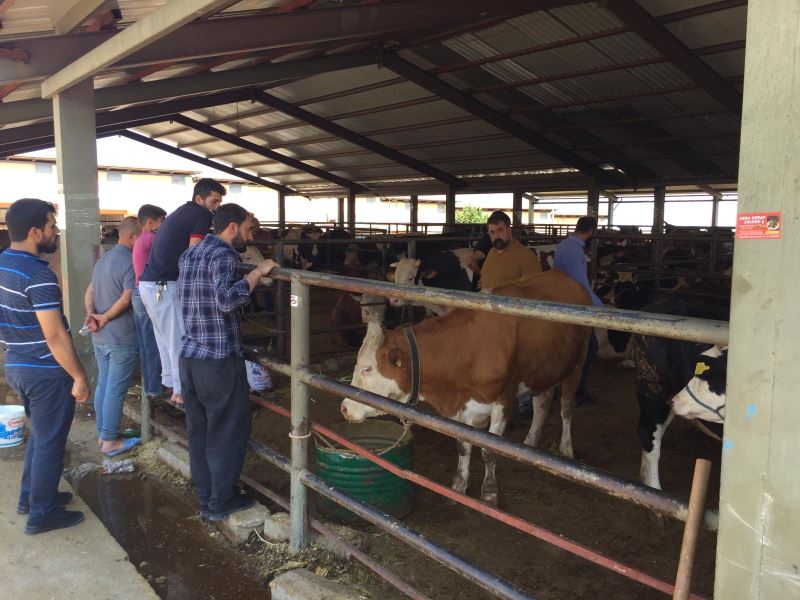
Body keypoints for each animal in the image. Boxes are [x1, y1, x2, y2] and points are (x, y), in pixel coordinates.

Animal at [340, 270, 592, 504]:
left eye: (367, 369)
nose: (344, 407)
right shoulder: (463, 406)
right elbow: (463, 445)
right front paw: (458, 486)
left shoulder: (502, 401)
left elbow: (489, 451)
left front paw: (489, 493)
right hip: (545, 370)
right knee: (542, 403)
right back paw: (530, 443)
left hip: (577, 364)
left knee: (566, 407)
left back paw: (566, 449)